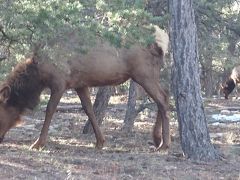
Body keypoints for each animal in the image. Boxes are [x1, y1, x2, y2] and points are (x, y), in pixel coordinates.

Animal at [0, 26, 171, 150]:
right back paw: (157, 139)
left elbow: (49, 110)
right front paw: (100, 141)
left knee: (162, 99)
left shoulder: (60, 82)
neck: (39, 75)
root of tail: (160, 43)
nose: (0, 139)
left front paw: (38, 143)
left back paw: (164, 144)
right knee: (164, 96)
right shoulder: (80, 84)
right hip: (150, 75)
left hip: (143, 74)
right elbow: (89, 109)